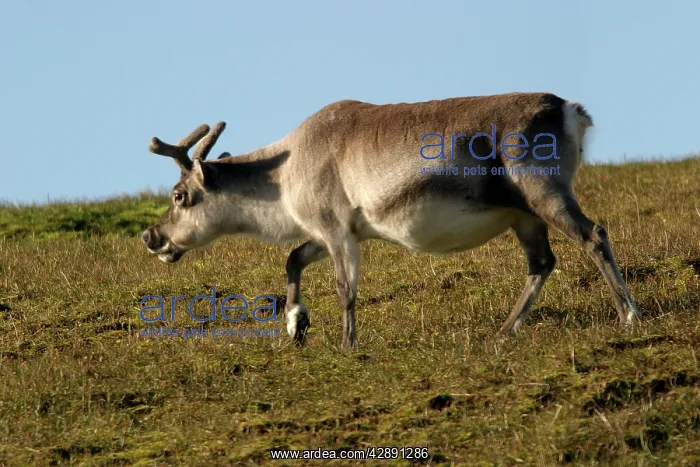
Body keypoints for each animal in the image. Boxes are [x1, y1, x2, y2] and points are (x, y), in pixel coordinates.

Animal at [141, 92, 639, 349]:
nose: (151, 236)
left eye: (179, 195)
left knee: (594, 235)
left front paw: (347, 344)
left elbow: (345, 288)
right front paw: (296, 324)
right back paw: (504, 331)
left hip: (543, 190)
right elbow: (293, 258)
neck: (281, 179)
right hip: (522, 214)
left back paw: (629, 315)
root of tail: (571, 111)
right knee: (541, 262)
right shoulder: (338, 231)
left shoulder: (335, 227)